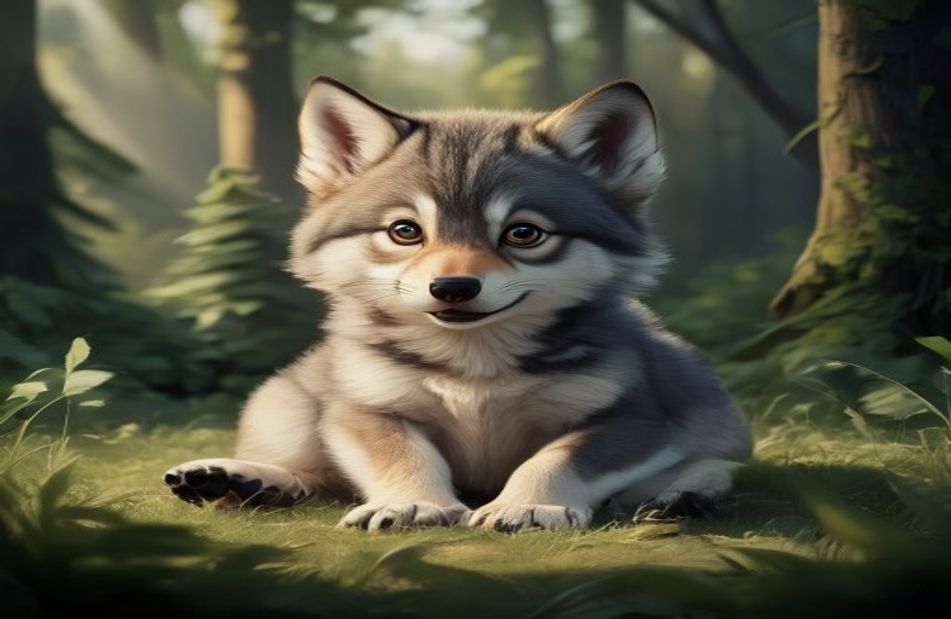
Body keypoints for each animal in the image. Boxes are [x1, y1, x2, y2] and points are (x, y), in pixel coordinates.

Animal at [163, 77, 752, 532]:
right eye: (405, 231)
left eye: (523, 233)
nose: (452, 287)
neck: (474, 364)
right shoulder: (365, 406)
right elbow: (400, 452)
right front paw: (412, 503)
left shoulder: (633, 417)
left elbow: (559, 456)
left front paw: (529, 504)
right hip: (283, 401)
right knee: (315, 475)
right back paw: (237, 479)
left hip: (703, 394)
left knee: (715, 462)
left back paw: (684, 495)